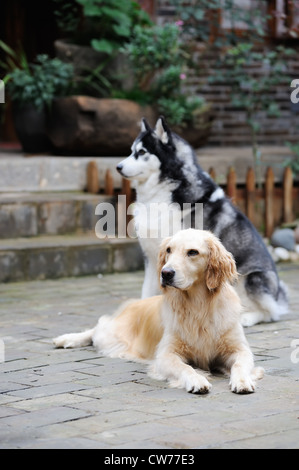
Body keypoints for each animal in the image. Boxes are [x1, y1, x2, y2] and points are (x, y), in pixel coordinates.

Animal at [54, 229, 264, 394]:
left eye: (193, 252)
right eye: (169, 250)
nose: (166, 273)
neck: (198, 306)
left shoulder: (239, 349)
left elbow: (240, 364)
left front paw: (242, 381)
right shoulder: (165, 355)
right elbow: (185, 367)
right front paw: (197, 379)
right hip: (112, 335)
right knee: (97, 328)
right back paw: (66, 339)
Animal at [116, 116, 288, 326]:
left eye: (141, 152)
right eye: (131, 151)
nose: (118, 167)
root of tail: (278, 293)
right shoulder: (152, 257)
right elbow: (146, 291)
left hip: (251, 278)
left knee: (270, 312)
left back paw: (246, 317)